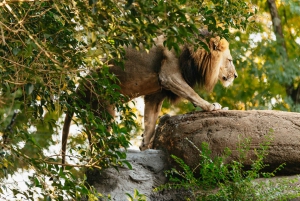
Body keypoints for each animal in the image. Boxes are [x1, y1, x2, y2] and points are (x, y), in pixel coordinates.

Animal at [62, 31, 238, 163]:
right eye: (229, 60)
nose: (235, 76)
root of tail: (78, 88)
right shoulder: (169, 75)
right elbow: (191, 93)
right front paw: (211, 106)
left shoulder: (155, 95)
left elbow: (150, 122)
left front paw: (146, 146)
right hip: (102, 109)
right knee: (99, 142)